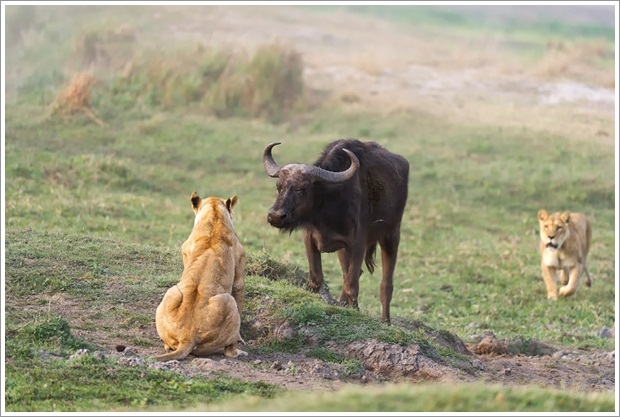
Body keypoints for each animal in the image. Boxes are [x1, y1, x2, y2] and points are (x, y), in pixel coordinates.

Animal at [264, 138, 410, 324]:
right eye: (279, 186)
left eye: (302, 188)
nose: (275, 216)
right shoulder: (310, 239)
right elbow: (317, 280)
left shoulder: (358, 244)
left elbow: (351, 284)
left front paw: (355, 312)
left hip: (391, 236)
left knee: (385, 284)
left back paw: (386, 320)